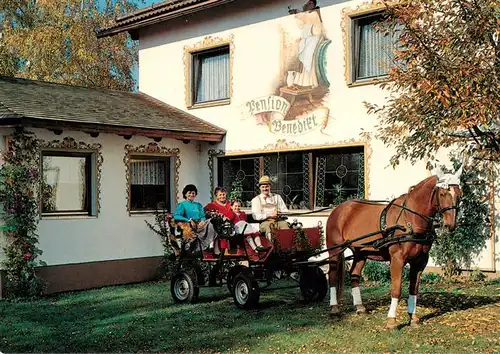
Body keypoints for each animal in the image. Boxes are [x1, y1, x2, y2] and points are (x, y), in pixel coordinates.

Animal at [326, 169, 462, 330]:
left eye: (459, 194)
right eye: (442, 193)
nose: (450, 225)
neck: (410, 219)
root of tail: (339, 209)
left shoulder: (420, 261)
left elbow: (413, 289)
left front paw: (413, 318)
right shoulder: (397, 259)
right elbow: (396, 289)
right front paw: (392, 320)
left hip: (360, 252)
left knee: (354, 274)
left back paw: (360, 307)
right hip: (335, 250)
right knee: (332, 275)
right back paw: (334, 308)